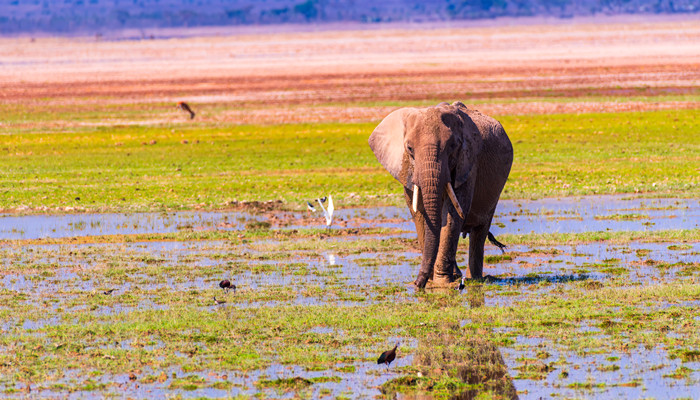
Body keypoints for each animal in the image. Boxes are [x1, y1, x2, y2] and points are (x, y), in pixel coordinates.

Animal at [368, 101, 513, 288]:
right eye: (409, 148)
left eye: (452, 147)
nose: (416, 284)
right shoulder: (406, 169)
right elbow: (419, 214)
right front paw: (434, 281)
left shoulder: (468, 164)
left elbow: (452, 214)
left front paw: (442, 282)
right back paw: (460, 276)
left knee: (480, 231)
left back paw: (474, 279)